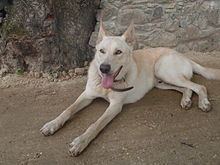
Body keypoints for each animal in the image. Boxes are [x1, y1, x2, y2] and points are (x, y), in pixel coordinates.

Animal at [40, 19, 220, 156]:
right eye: (101, 51)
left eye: (118, 52)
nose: (103, 68)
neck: (107, 86)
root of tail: (184, 56)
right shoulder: (87, 95)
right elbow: (68, 110)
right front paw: (52, 124)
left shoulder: (115, 106)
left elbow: (96, 124)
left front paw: (80, 142)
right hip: (160, 82)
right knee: (187, 88)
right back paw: (186, 100)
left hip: (163, 70)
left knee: (199, 86)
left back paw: (203, 102)